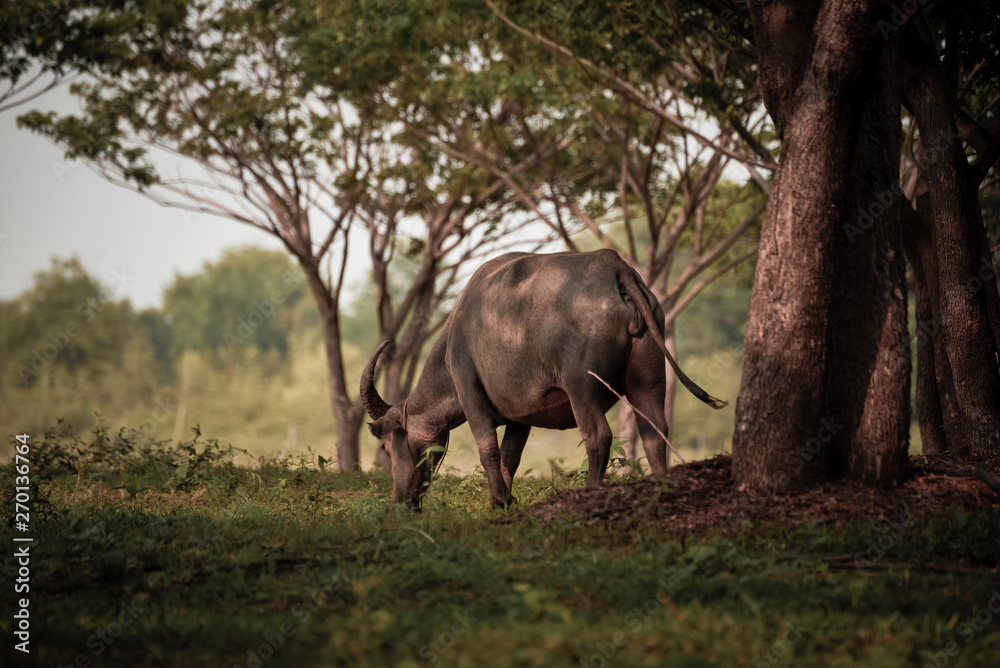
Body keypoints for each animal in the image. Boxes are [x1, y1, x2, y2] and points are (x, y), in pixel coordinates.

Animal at [361, 249, 725, 509]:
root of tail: (616, 268)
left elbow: (488, 449)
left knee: (599, 435)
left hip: (582, 386)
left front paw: (499, 502)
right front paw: (508, 499)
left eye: (387, 446)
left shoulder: (469, 391)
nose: (399, 501)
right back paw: (661, 485)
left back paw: (591, 491)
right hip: (649, 381)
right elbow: (510, 457)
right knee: (654, 431)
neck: (454, 335)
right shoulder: (521, 416)